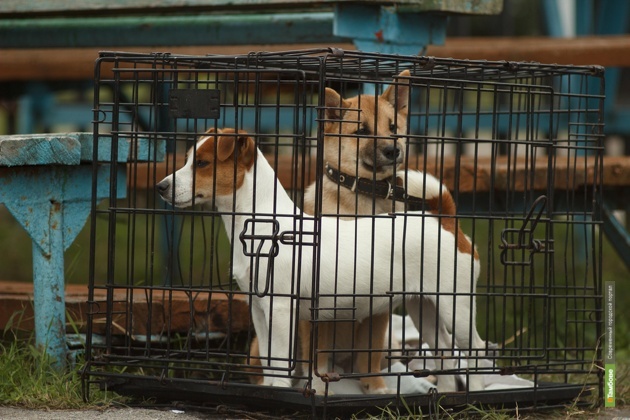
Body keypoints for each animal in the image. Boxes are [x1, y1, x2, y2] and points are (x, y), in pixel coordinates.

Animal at [157, 126, 488, 392]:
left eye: (202, 163)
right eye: (187, 160)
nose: (161, 187)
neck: (263, 224)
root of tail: (444, 220)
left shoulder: (281, 308)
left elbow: (281, 359)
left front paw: (280, 390)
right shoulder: (259, 309)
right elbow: (268, 359)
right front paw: (271, 385)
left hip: (457, 307)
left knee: (476, 350)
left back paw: (477, 393)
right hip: (424, 306)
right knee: (444, 351)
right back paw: (445, 395)